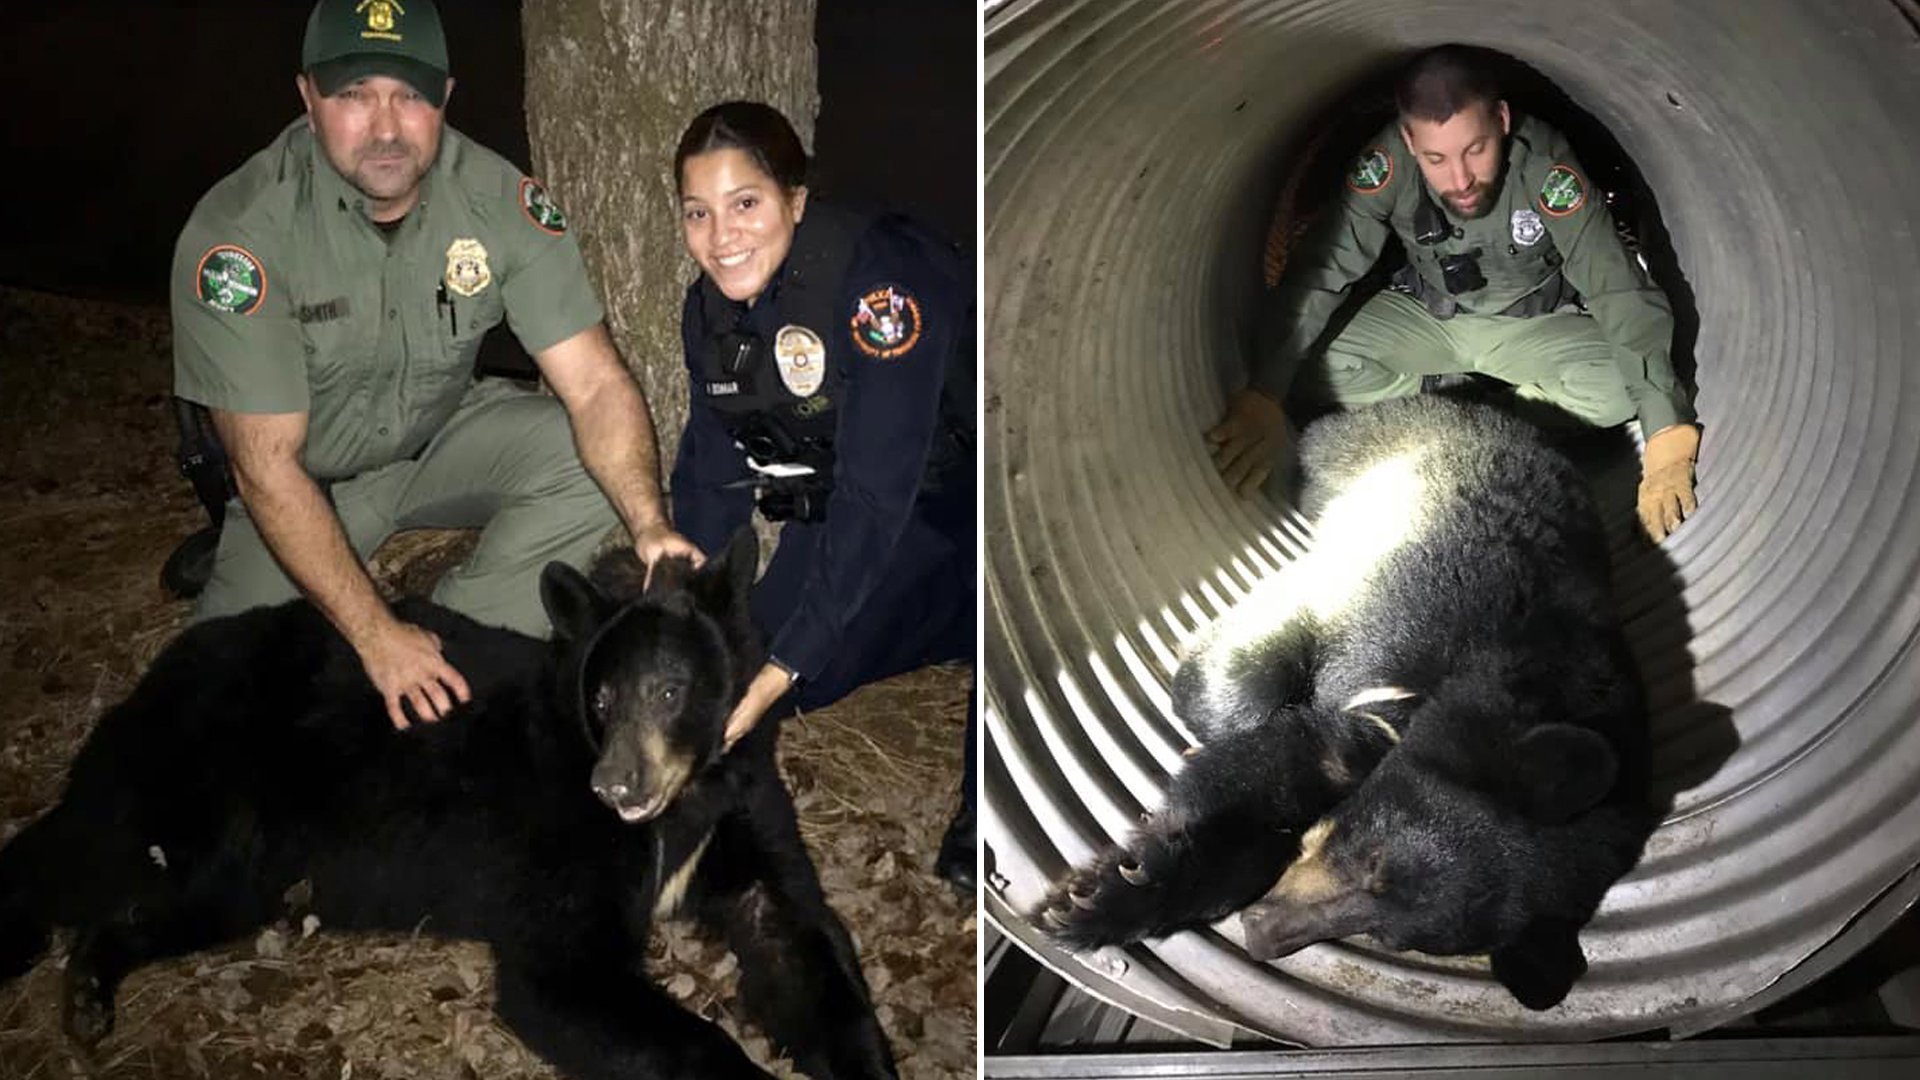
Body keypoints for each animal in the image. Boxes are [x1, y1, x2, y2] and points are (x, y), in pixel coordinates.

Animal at [0, 530, 894, 1076]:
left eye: (671, 690)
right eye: (602, 697)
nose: (615, 787)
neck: (685, 799)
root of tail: (170, 655)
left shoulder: (743, 804)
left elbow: (796, 934)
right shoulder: (562, 845)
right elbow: (565, 973)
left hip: (247, 860)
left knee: (172, 900)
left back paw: (88, 992)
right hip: (190, 775)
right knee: (75, 850)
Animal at [1036, 395, 1651, 1006]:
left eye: (1393, 938)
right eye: (1370, 859)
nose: (1259, 937)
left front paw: (1111, 891)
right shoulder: (1405, 637)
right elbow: (1261, 743)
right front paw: (1100, 901)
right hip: (1363, 451)